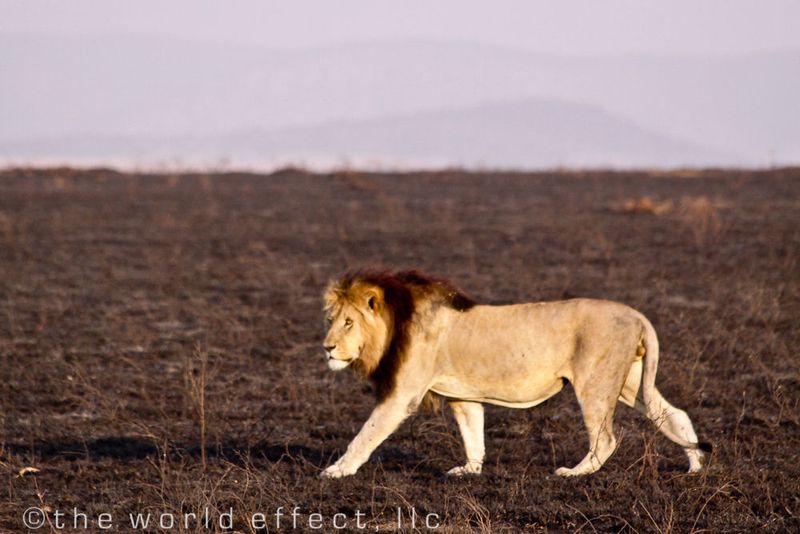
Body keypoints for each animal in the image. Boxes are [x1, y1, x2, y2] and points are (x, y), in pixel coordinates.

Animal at [319, 269, 710, 479]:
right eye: (331, 319)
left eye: (349, 322)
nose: (327, 347)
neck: (396, 323)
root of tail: (636, 314)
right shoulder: (462, 396)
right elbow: (473, 435)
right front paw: (469, 471)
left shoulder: (402, 395)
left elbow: (366, 435)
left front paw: (337, 470)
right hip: (630, 382)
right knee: (673, 414)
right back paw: (695, 466)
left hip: (595, 382)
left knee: (606, 438)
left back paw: (574, 473)